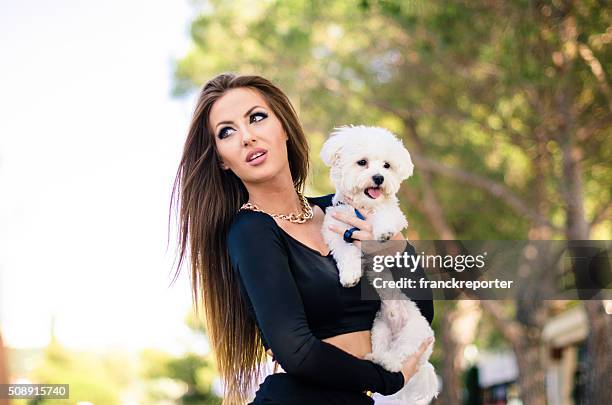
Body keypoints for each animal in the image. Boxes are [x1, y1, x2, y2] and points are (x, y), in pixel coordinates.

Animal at [318, 124, 438, 402]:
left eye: (387, 166)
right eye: (362, 162)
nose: (379, 178)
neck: (364, 209)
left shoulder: (395, 215)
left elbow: (386, 216)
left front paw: (381, 232)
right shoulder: (336, 228)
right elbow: (346, 251)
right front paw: (349, 274)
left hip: (414, 334)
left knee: (400, 358)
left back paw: (389, 362)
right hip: (380, 330)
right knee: (386, 352)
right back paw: (377, 358)